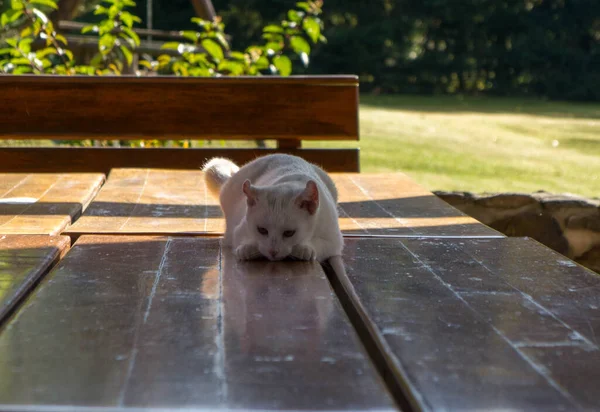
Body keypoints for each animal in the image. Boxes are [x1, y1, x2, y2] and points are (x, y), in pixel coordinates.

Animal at [203, 153, 340, 262]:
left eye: (289, 233)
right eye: (262, 230)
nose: (273, 251)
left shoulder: (334, 241)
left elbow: (320, 243)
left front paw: (304, 249)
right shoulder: (238, 230)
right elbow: (244, 240)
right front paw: (247, 248)